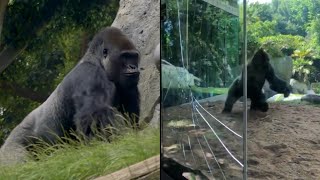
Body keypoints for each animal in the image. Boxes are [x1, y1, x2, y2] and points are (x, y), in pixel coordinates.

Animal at [0, 26, 140, 165]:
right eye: (125, 56)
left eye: (134, 57)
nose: (133, 67)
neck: (96, 61)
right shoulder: (89, 74)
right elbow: (94, 115)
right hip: (12, 148)